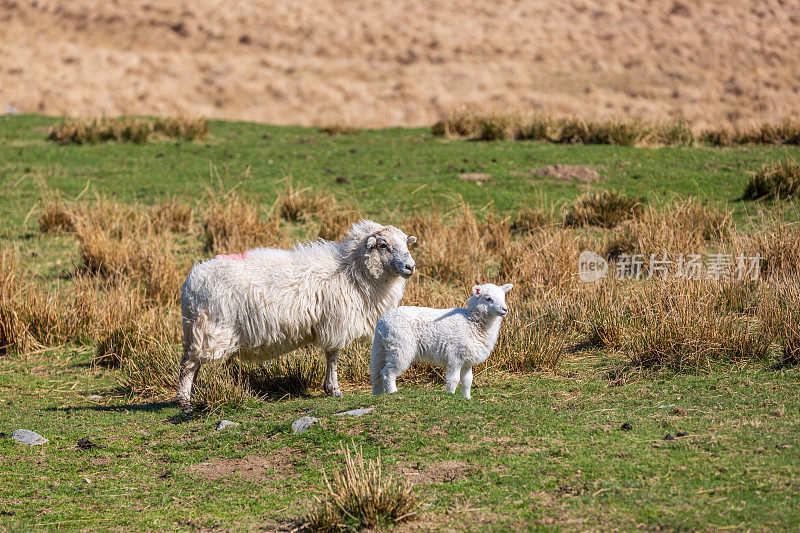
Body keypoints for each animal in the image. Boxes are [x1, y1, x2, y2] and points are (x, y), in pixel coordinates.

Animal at [177, 220, 418, 412]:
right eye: (383, 245)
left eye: (406, 244)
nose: (410, 266)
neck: (352, 271)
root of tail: (191, 282)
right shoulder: (335, 323)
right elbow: (333, 357)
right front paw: (333, 389)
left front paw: (331, 388)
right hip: (212, 328)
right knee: (189, 364)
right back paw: (185, 402)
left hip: (198, 329)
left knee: (193, 364)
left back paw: (192, 396)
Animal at [370, 282, 512, 400]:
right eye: (488, 298)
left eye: (503, 297)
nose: (505, 309)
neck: (471, 321)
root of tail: (382, 321)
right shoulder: (455, 356)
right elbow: (454, 379)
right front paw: (450, 395)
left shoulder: (467, 359)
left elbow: (467, 381)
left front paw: (467, 398)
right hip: (400, 347)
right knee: (387, 373)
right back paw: (392, 392)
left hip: (381, 348)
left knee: (377, 373)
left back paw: (377, 394)